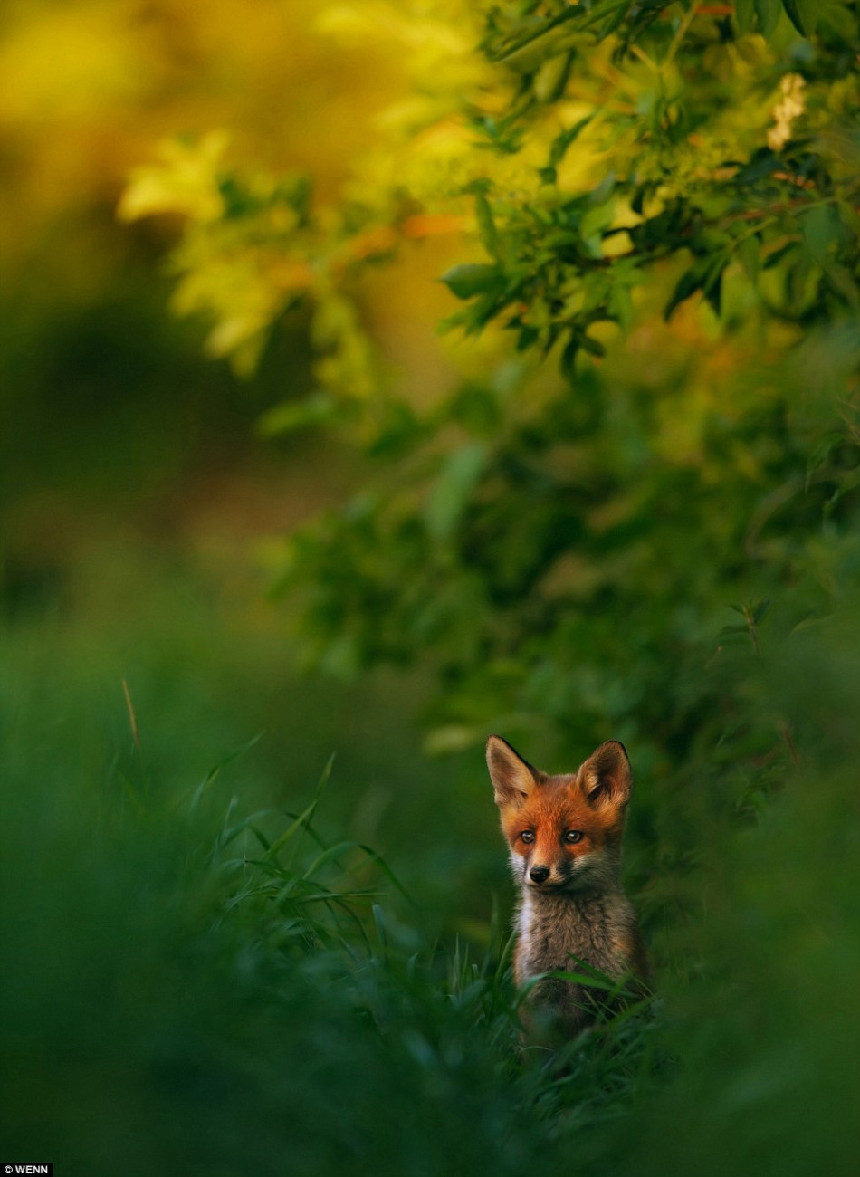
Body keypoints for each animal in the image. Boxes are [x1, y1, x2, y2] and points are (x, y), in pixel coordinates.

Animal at [487, 734, 649, 1040]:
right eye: (527, 836)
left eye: (572, 836)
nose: (538, 873)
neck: (570, 953)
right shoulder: (538, 1004)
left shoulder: (618, 995)